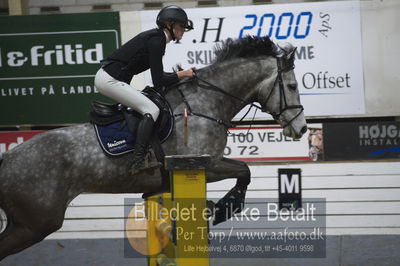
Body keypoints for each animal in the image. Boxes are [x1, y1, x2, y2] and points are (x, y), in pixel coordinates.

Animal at [0, 35, 308, 260]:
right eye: (293, 86)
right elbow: (244, 171)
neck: (206, 102)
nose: (302, 129)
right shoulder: (205, 164)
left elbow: (241, 172)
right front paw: (223, 210)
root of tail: (7, 160)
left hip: (24, 222)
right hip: (37, 222)